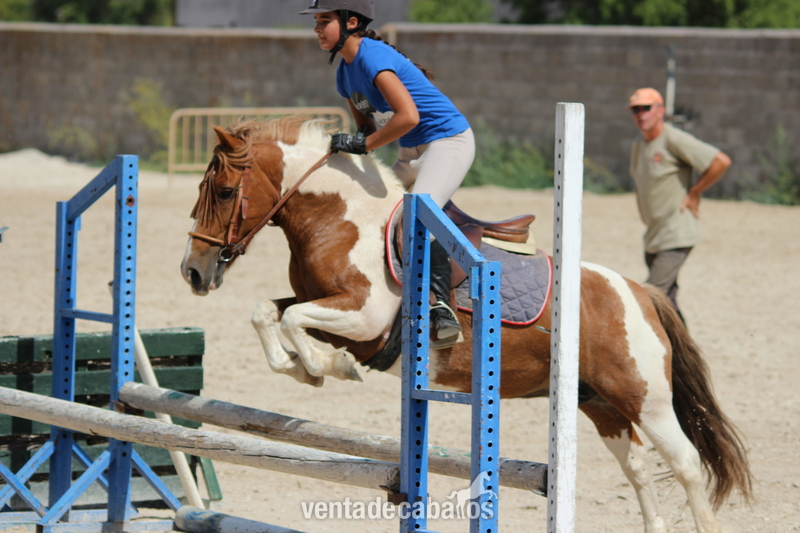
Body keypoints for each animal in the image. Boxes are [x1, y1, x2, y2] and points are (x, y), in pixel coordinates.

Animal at [180, 117, 752, 533]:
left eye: (225, 192)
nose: (193, 272)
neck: (339, 220)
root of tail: (641, 292)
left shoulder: (363, 317)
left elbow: (295, 319)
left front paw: (328, 366)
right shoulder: (332, 310)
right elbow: (269, 312)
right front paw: (304, 367)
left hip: (645, 397)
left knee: (685, 464)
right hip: (599, 403)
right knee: (635, 465)